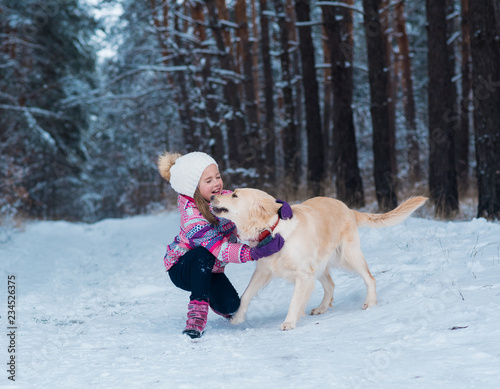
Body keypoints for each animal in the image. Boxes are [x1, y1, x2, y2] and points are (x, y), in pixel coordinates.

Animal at [210, 189, 426, 328]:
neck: (273, 230)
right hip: (320, 265)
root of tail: (347, 207)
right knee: (331, 284)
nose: (212, 196)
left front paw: (289, 321)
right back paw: (322, 308)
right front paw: (238, 318)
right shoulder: (263, 270)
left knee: (370, 278)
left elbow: (294, 301)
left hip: (347, 256)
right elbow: (246, 295)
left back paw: (370, 302)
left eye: (235, 195)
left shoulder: (303, 275)